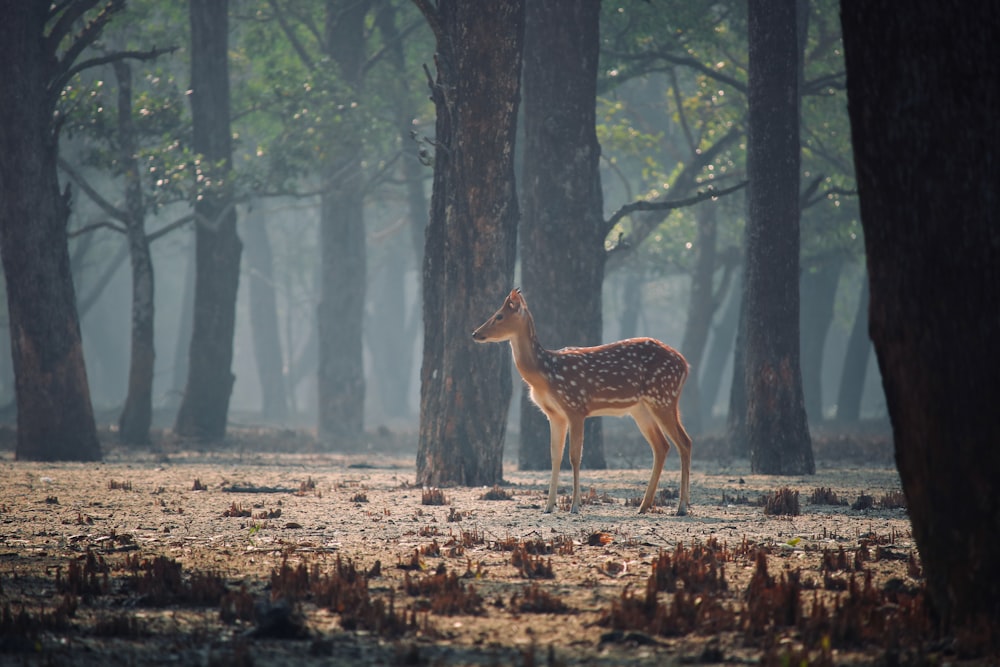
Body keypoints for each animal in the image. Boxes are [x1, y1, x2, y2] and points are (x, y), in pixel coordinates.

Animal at [472, 288, 692, 516]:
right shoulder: (555, 414)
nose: (475, 333)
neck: (545, 373)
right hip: (641, 408)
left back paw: (682, 507)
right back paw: (644, 505)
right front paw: (548, 506)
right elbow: (555, 456)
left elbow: (574, 456)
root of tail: (685, 364)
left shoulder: (575, 406)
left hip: (663, 396)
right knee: (662, 446)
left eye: (499, 316)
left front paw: (575, 505)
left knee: (684, 442)